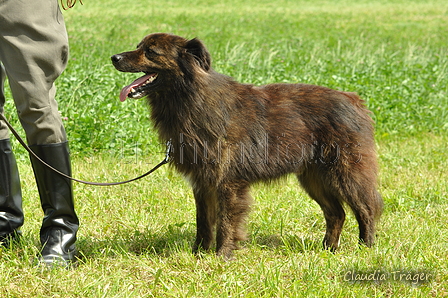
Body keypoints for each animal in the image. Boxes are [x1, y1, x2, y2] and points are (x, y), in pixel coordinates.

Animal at [111, 32, 382, 260]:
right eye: (138, 46)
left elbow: (226, 223)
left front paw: (222, 256)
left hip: (345, 174)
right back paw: (327, 250)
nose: (114, 57)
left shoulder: (228, 183)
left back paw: (365, 247)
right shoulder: (203, 183)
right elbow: (203, 222)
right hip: (314, 179)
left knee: (366, 209)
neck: (191, 98)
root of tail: (354, 100)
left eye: (151, 51)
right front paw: (199, 254)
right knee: (336, 213)